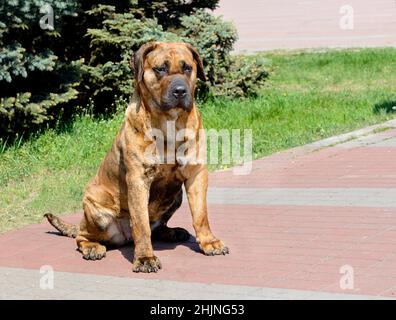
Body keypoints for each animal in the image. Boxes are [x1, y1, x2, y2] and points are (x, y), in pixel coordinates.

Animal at [44, 42, 229, 272]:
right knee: (82, 236)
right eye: (161, 69)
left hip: (176, 196)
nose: (180, 91)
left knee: (157, 226)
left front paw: (209, 242)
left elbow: (201, 214)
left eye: (187, 68)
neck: (169, 124)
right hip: (95, 208)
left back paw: (173, 232)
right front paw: (145, 258)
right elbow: (141, 224)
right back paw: (92, 247)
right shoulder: (138, 180)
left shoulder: (196, 173)